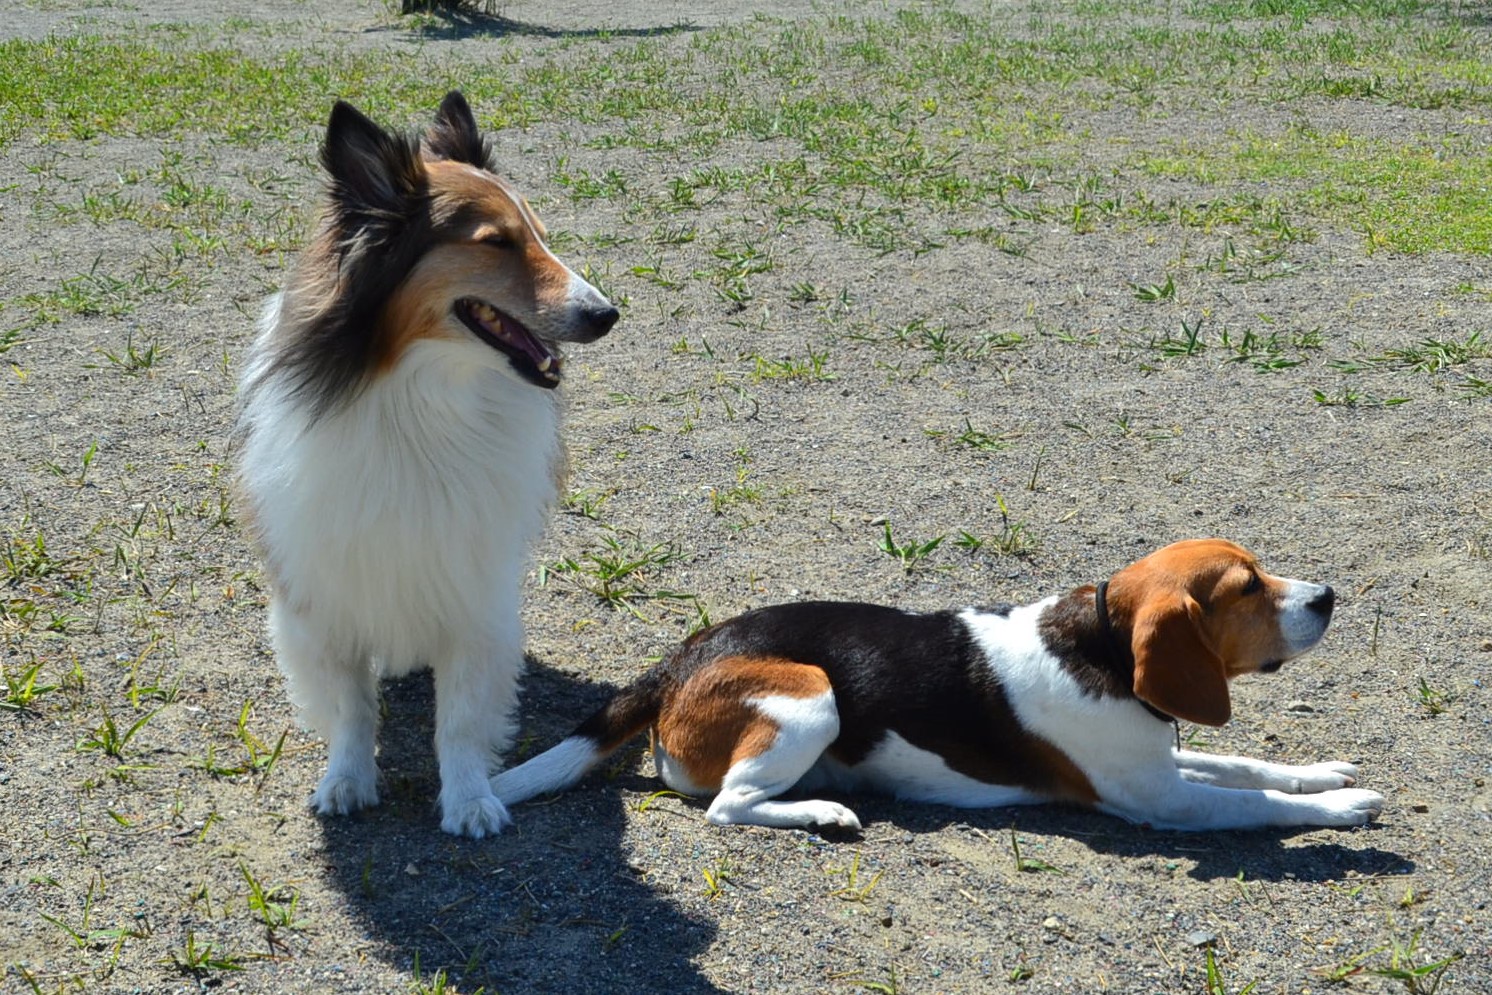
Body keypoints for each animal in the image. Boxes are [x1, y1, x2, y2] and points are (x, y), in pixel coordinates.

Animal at [238, 95, 617, 841]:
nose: (607, 313)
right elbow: (351, 707)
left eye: (541, 234)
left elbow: (462, 716)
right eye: (496, 242)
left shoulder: (472, 590)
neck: (417, 399)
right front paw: (347, 778)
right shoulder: (323, 591)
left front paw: (469, 798)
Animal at [498, 540, 1384, 829]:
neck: (1097, 647)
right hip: (810, 697)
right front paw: (1341, 808)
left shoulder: (1154, 760)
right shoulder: (1161, 800)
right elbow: (1256, 804)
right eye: (1245, 588)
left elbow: (1250, 767)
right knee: (727, 807)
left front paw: (1324, 773)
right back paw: (821, 813)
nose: (1328, 596)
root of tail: (680, 658)